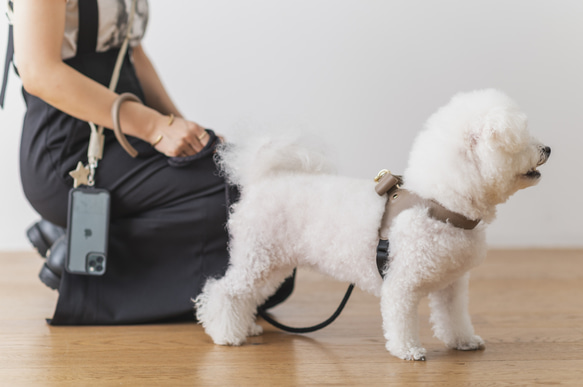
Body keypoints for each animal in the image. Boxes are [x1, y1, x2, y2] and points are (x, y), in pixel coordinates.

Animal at [196, 89, 552, 362]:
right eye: (521, 141)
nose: (548, 148)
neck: (439, 202)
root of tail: (264, 179)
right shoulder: (401, 284)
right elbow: (401, 320)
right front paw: (408, 351)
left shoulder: (451, 284)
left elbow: (454, 317)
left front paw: (463, 341)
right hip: (259, 255)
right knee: (224, 291)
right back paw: (225, 333)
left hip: (273, 262)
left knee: (248, 295)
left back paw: (246, 325)